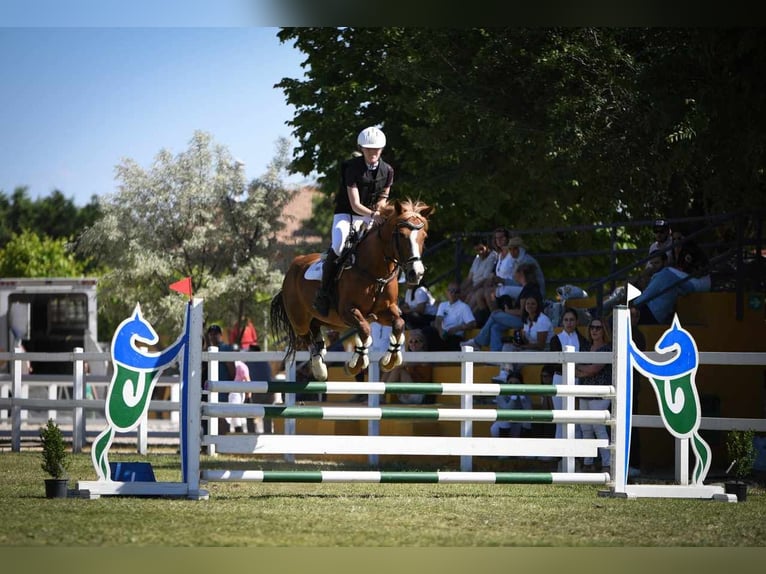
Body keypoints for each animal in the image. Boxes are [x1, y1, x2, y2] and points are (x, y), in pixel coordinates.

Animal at [272, 198, 436, 382]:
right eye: (401, 235)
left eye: (424, 236)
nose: (416, 273)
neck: (375, 271)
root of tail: (293, 266)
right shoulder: (348, 311)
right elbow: (364, 329)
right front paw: (355, 365)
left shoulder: (384, 311)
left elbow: (399, 323)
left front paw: (389, 361)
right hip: (300, 320)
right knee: (306, 336)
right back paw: (319, 369)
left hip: (326, 320)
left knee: (316, 333)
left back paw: (320, 368)